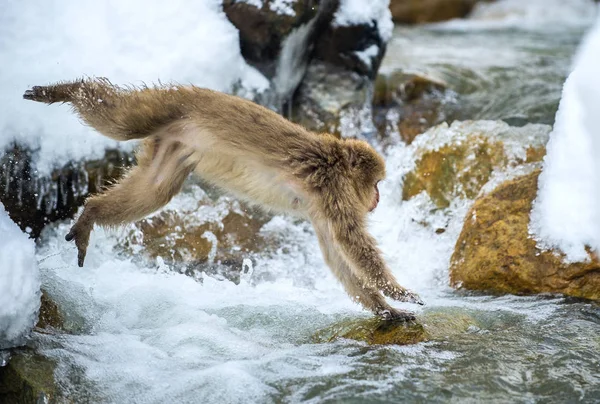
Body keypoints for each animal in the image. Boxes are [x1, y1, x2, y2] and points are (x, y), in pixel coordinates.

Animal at [23, 78, 424, 318]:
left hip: (172, 146)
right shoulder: (335, 193)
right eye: (376, 183)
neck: (335, 162)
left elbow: (338, 256)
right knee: (119, 119)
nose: (377, 198)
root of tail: (189, 92)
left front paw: (385, 308)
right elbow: (353, 244)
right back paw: (64, 90)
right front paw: (398, 292)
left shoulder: (322, 210)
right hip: (164, 106)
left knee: (154, 192)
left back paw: (90, 213)